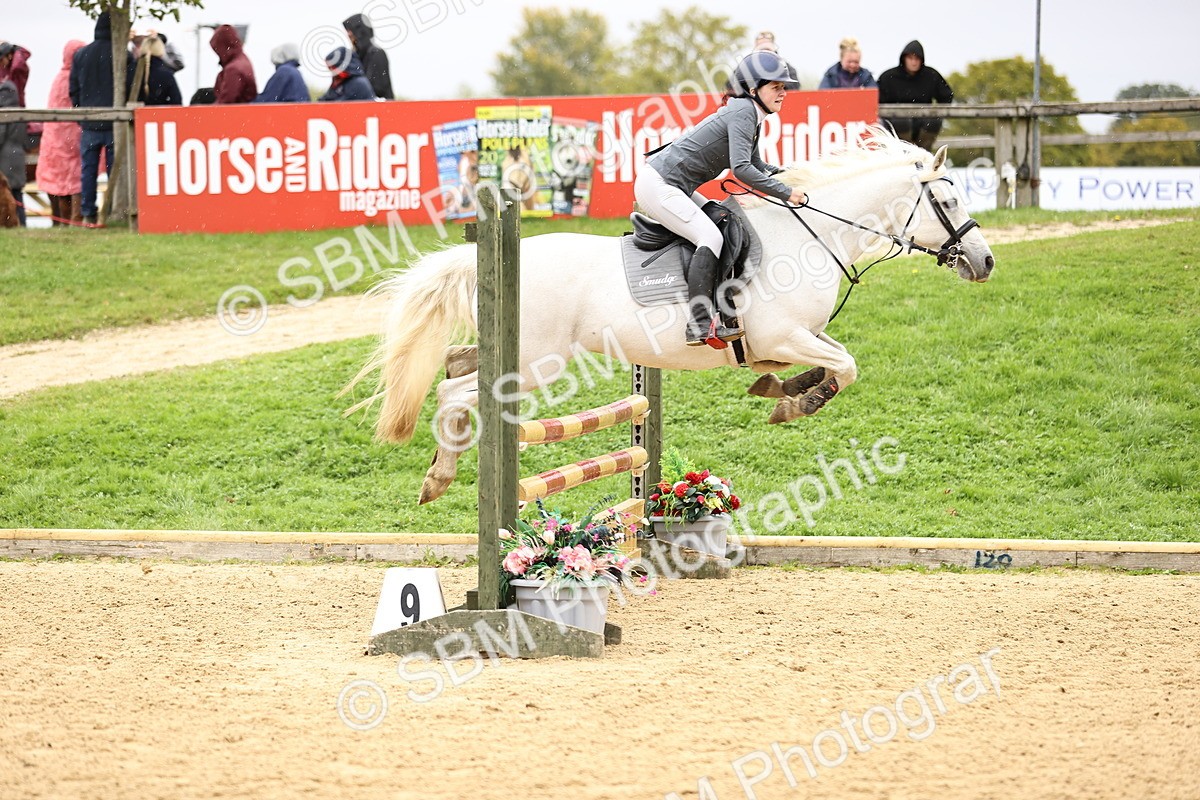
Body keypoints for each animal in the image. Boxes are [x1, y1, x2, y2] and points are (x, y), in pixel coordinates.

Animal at [344, 128, 995, 504]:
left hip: (514, 353)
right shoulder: (782, 332)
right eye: (949, 198)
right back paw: (439, 477)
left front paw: (783, 389)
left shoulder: (792, 338)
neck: (813, 235)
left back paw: (439, 468)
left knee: (455, 367)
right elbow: (848, 365)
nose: (984, 261)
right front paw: (794, 402)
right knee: (456, 395)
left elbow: (829, 364)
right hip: (533, 365)